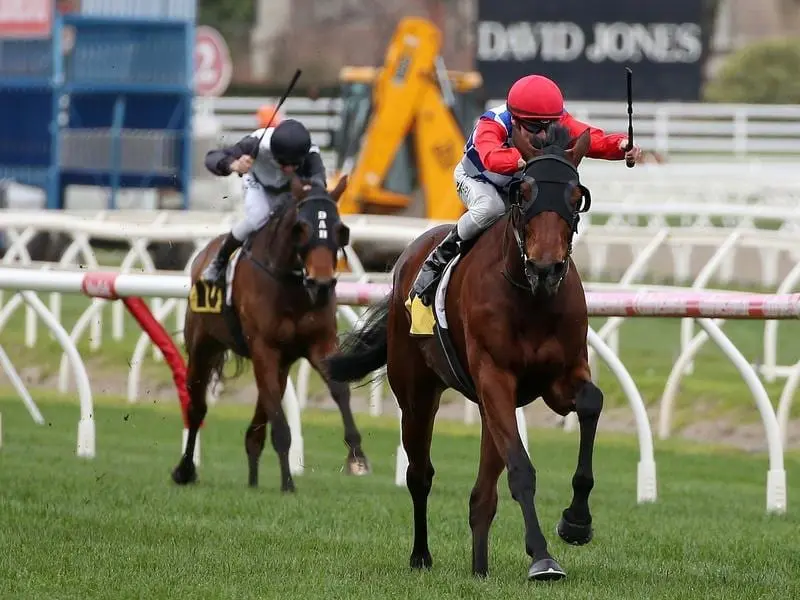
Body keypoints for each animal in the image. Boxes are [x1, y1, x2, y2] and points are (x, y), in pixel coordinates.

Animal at [172, 175, 372, 492]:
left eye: (340, 230)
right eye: (301, 228)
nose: (322, 284)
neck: (291, 284)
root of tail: (203, 255)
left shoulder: (319, 343)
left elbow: (339, 389)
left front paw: (357, 457)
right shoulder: (264, 348)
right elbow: (279, 423)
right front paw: (288, 482)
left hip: (279, 362)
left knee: (262, 411)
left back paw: (253, 478)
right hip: (203, 345)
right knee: (197, 407)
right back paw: (185, 469)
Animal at [324, 125, 608, 580]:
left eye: (575, 195)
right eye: (523, 192)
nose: (546, 267)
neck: (528, 295)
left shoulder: (558, 377)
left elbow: (591, 403)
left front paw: (576, 521)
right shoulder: (494, 376)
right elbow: (521, 469)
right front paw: (542, 557)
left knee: (482, 496)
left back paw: (479, 568)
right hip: (417, 394)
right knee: (420, 474)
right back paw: (421, 556)